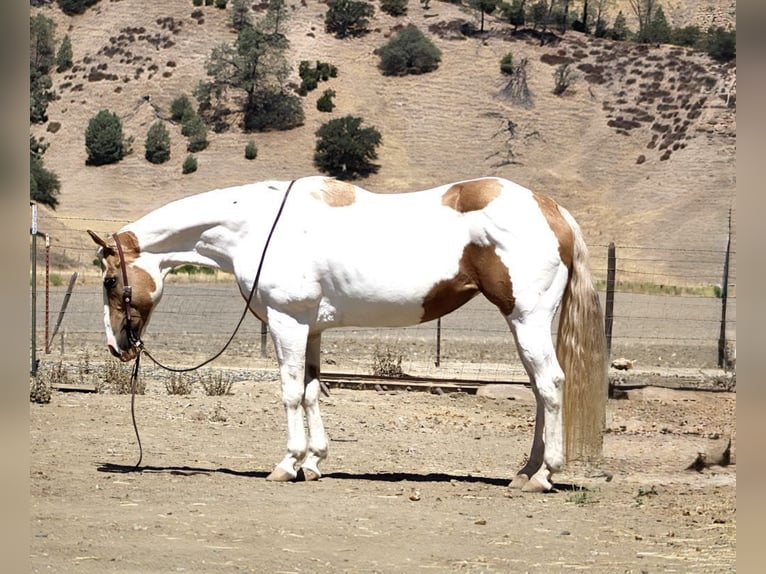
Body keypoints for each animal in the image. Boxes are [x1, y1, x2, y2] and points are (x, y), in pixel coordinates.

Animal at [88, 175, 607, 492]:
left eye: (110, 280)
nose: (117, 346)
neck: (258, 226)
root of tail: (552, 210)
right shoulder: (311, 328)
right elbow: (312, 390)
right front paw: (314, 463)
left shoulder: (287, 322)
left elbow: (290, 392)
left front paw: (288, 463)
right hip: (523, 324)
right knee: (539, 391)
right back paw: (525, 471)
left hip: (528, 318)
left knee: (551, 386)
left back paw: (544, 475)